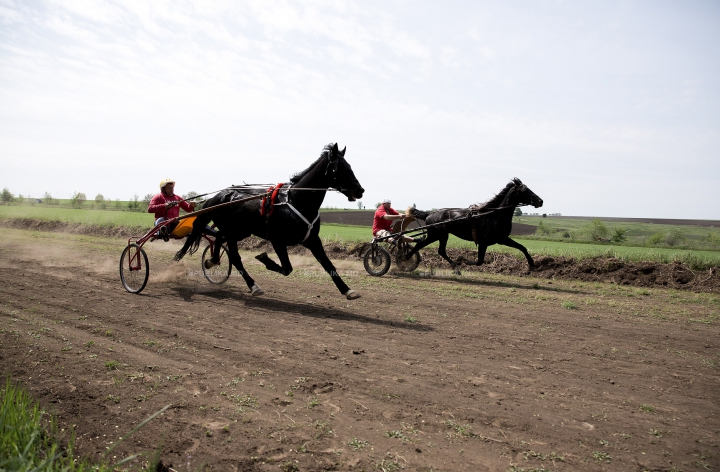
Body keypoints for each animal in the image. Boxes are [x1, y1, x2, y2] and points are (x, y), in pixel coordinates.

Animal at [175, 143, 366, 298]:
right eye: (339, 168)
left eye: (349, 166)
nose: (360, 190)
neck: (296, 200)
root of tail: (217, 197)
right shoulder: (277, 240)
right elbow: (287, 268)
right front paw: (263, 258)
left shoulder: (312, 239)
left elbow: (328, 264)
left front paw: (348, 290)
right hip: (232, 231)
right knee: (235, 257)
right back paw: (253, 285)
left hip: (240, 231)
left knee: (219, 238)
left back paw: (212, 260)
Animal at [408, 178, 544, 274]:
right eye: (525, 191)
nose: (540, 201)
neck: (494, 215)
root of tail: (429, 213)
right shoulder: (485, 242)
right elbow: (479, 261)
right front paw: (462, 259)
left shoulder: (502, 239)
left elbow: (522, 247)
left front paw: (532, 264)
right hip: (435, 235)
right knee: (420, 245)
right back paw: (406, 258)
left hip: (442, 235)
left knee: (440, 251)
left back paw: (455, 268)